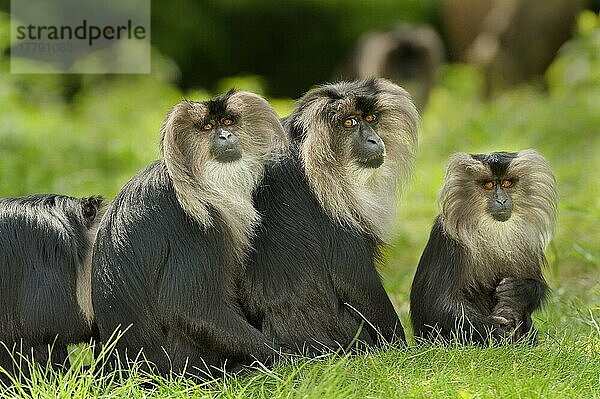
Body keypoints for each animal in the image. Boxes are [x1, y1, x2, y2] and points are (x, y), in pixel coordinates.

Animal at [412, 150, 556, 344]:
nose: (501, 200)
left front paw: (518, 293)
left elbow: (535, 287)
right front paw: (496, 330)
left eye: (507, 183)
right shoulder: (448, 241)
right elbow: (439, 305)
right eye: (489, 184)